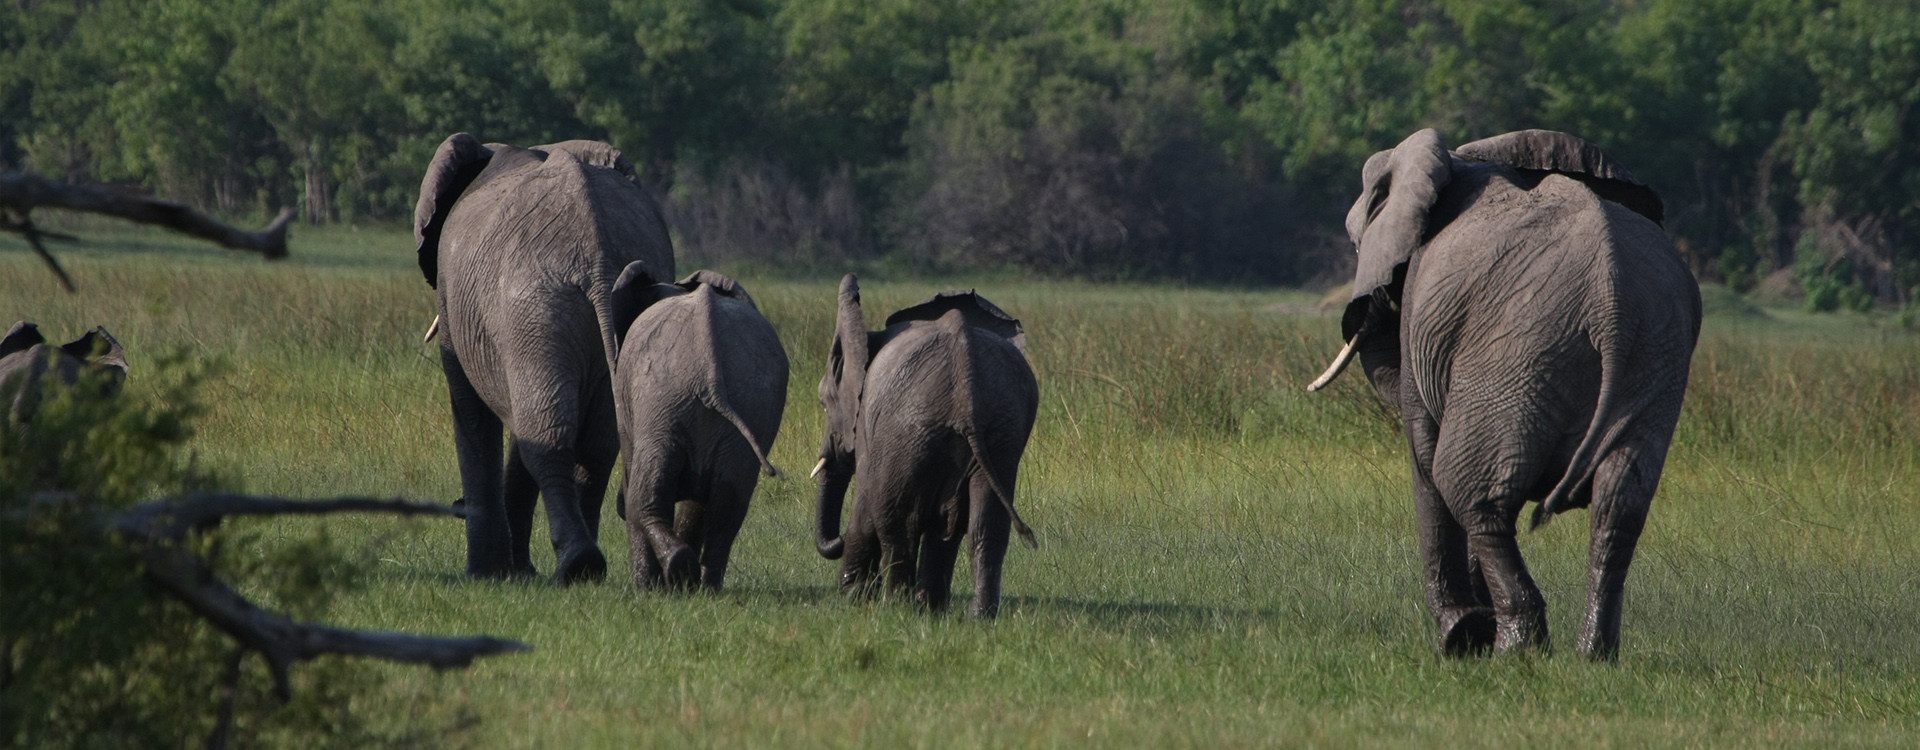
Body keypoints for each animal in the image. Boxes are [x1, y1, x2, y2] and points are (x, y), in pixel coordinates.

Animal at [413, 133, 674, 583]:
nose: (456, 505)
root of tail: (597, 256)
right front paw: (514, 572)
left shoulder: (454, 297)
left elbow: (470, 409)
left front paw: (485, 574)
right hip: (584, 314)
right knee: (594, 441)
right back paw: (585, 568)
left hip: (533, 308)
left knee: (549, 435)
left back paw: (575, 566)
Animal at [607, 265, 788, 591]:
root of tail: (708, 367)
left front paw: (646, 588)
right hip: (749, 401)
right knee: (728, 507)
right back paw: (704, 585)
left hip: (661, 399)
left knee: (642, 496)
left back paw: (676, 573)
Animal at [812, 276, 1039, 618]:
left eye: (824, 402)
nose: (836, 538)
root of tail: (966, 386)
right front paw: (927, 607)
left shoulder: (869, 430)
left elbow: (866, 498)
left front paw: (854, 596)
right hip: (1000, 428)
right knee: (984, 525)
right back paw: (973, 616)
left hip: (908, 425)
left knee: (895, 519)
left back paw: (896, 606)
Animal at [1306, 129, 1700, 659]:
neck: (1463, 159)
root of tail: (1610, 304)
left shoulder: (1420, 307)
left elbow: (1423, 455)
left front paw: (1458, 635)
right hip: (1653, 353)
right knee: (1618, 505)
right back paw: (1591, 655)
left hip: (1517, 352)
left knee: (1470, 491)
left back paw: (1513, 648)